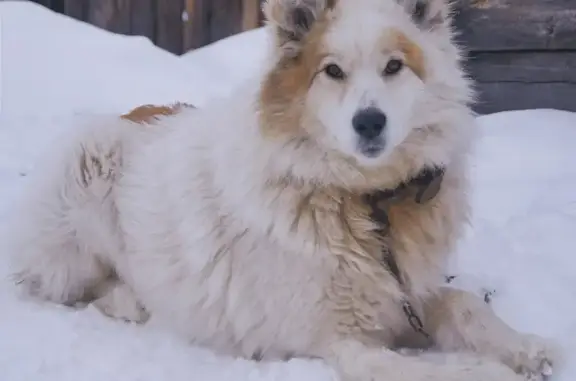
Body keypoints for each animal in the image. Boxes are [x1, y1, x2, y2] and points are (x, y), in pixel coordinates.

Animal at [9, 0, 560, 380]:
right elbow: (430, 371)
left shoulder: (406, 297)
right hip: (92, 162)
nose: (369, 122)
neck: (364, 202)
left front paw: (525, 347)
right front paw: (489, 371)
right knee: (69, 288)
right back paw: (130, 299)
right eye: (332, 71)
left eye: (394, 67)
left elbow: (465, 303)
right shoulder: (343, 343)